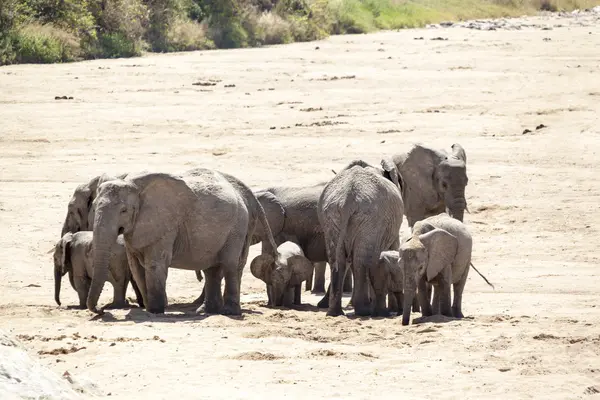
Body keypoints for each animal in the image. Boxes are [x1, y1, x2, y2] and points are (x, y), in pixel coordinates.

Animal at [86, 166, 278, 316]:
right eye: (94, 207)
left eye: (124, 211)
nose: (101, 310)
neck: (135, 186)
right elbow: (136, 268)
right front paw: (150, 309)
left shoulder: (165, 224)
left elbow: (155, 264)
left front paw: (156, 311)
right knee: (212, 269)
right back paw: (206, 311)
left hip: (237, 227)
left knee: (229, 264)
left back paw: (229, 312)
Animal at [318, 158, 404, 318]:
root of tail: (347, 198)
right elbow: (392, 249)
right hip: (370, 219)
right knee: (362, 260)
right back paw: (364, 310)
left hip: (330, 217)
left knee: (338, 259)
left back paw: (334, 312)